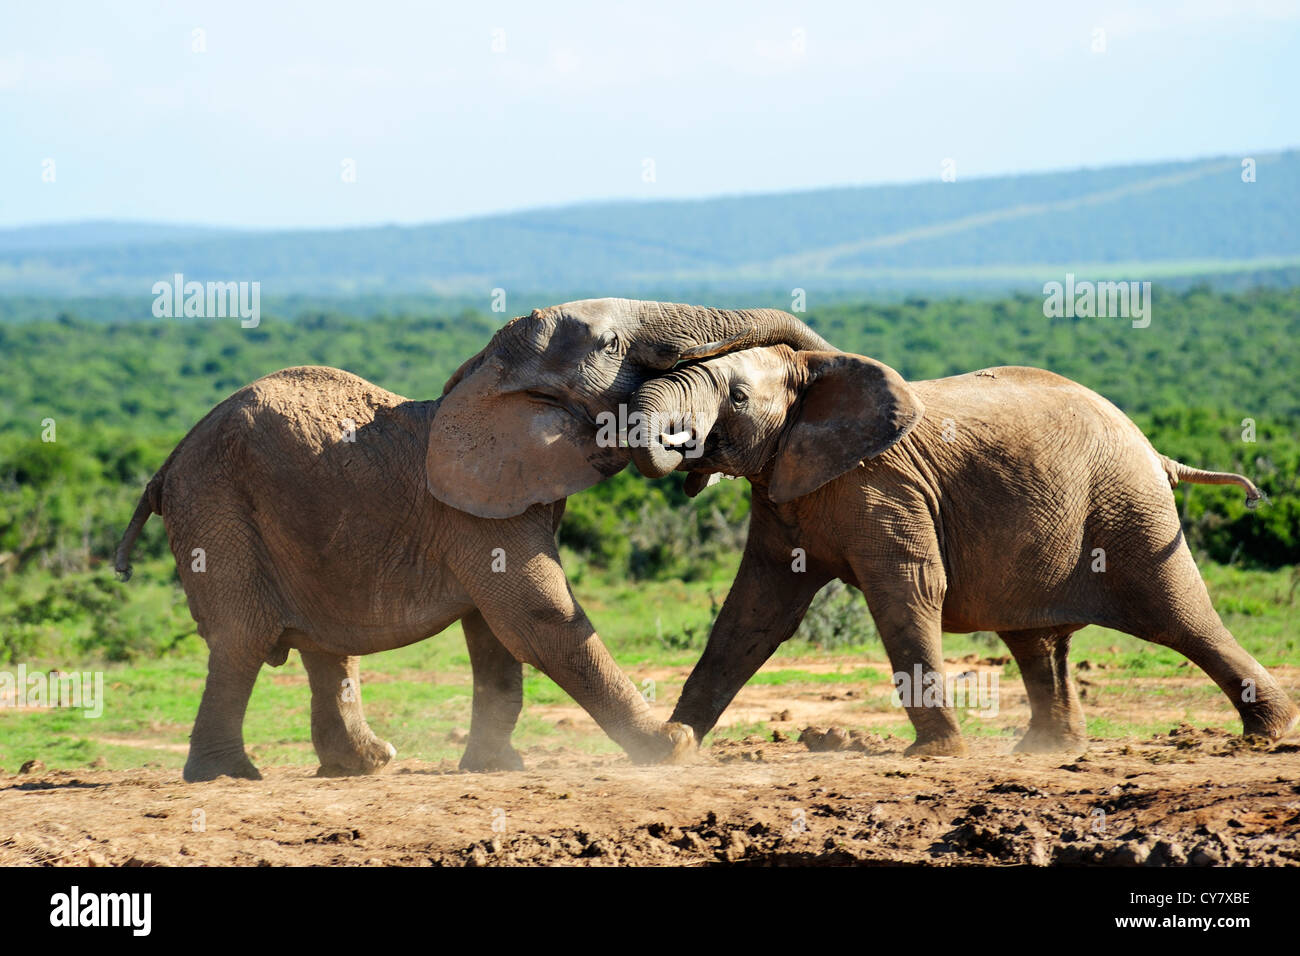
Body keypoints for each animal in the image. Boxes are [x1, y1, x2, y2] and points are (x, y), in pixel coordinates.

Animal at [114, 300, 832, 785]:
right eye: (609, 343)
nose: (690, 458)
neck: (488, 375)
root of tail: (166, 466)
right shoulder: (476, 512)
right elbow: (537, 618)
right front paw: (672, 749)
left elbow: (495, 636)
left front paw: (496, 767)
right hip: (218, 510)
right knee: (241, 641)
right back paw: (228, 777)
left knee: (324, 649)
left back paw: (365, 766)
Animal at [624, 348, 1294, 759]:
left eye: (736, 397)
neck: (814, 377)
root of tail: (1155, 449)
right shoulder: (782, 491)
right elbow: (754, 613)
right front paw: (673, 748)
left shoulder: (882, 484)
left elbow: (908, 592)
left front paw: (936, 754)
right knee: (1036, 640)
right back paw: (1048, 751)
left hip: (1130, 508)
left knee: (1181, 617)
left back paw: (1270, 732)